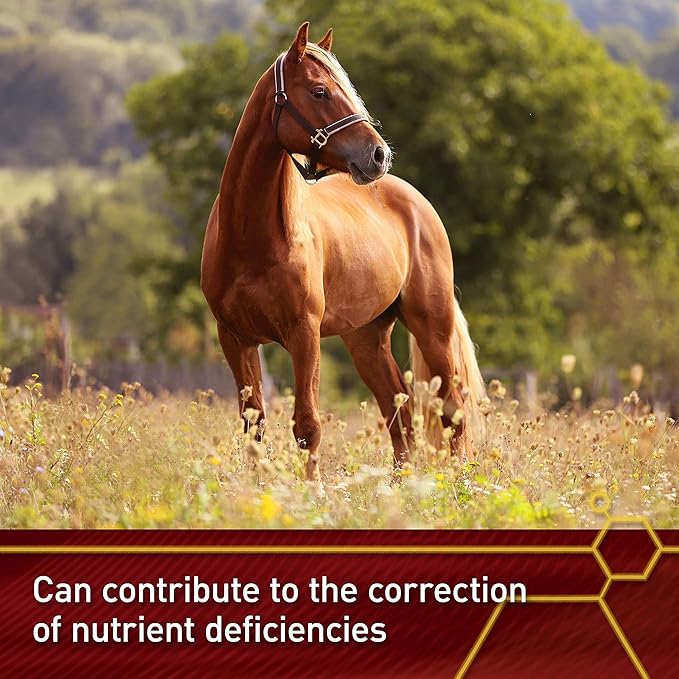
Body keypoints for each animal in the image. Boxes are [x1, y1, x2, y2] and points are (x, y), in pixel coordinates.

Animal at [201, 22, 485, 481]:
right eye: (319, 91)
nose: (378, 154)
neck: (251, 239)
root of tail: (415, 201)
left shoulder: (303, 334)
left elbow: (307, 425)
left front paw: (311, 491)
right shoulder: (235, 338)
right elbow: (254, 426)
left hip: (432, 327)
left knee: (451, 410)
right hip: (366, 337)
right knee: (399, 412)